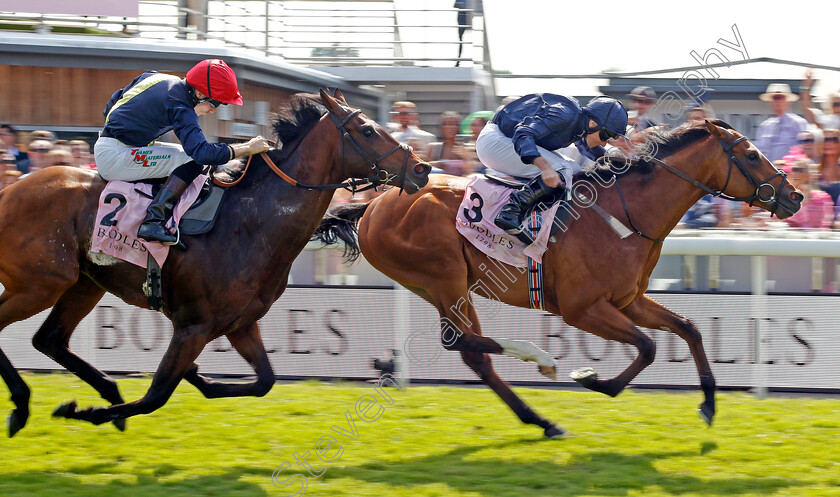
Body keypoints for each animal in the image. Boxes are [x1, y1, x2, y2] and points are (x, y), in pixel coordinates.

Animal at [0, 88, 430, 434]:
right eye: (368, 130)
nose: (422, 168)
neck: (250, 223)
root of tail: (9, 190)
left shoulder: (240, 323)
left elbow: (264, 381)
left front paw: (196, 378)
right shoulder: (193, 326)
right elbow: (156, 396)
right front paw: (84, 412)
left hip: (84, 283)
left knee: (50, 339)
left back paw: (100, 391)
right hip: (40, 284)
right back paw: (25, 404)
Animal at [314, 121, 800, 438]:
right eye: (752, 155)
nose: (794, 196)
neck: (625, 216)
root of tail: (376, 204)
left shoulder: (628, 300)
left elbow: (689, 329)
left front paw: (708, 405)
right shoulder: (583, 309)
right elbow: (647, 346)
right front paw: (592, 377)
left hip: (444, 286)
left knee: (472, 353)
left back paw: (542, 421)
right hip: (444, 277)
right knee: (461, 342)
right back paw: (540, 360)